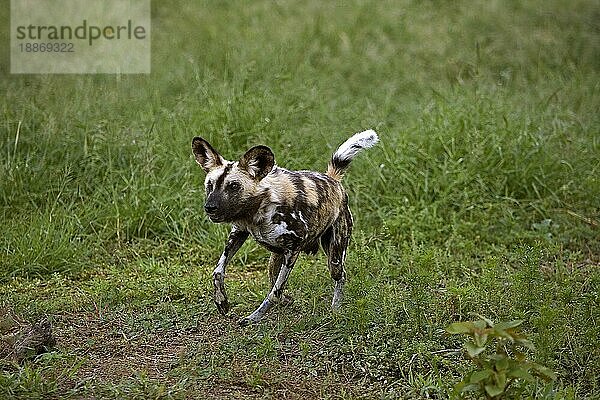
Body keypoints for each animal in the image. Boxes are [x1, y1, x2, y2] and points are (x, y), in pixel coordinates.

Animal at [192, 130, 380, 324]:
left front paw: (253, 317)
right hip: (276, 256)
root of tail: (333, 180)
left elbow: (274, 293)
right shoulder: (238, 232)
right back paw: (288, 300)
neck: (258, 211)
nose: (210, 207)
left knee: (340, 275)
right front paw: (222, 302)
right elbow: (218, 271)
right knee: (273, 278)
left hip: (334, 257)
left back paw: (335, 309)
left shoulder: (293, 249)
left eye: (234, 186)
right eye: (210, 185)